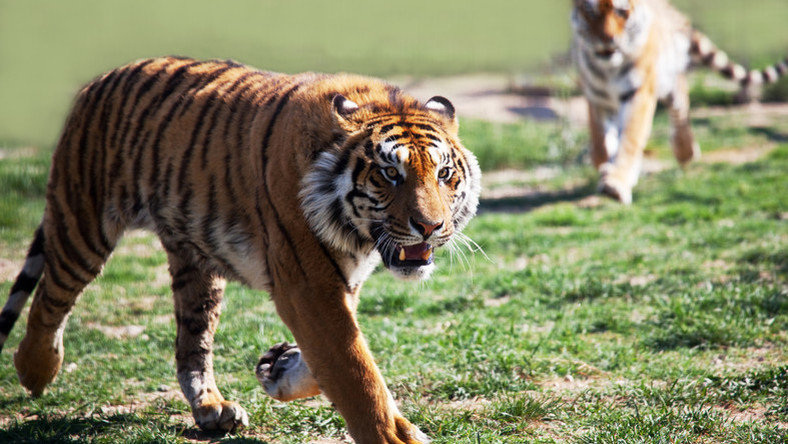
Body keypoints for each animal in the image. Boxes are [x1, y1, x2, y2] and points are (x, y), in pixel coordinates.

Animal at [0, 56, 480, 444]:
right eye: (389, 173)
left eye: (443, 174)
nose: (430, 226)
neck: (357, 235)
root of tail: (97, 80)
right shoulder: (308, 285)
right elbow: (355, 371)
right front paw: (392, 436)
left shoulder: (340, 282)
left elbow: (337, 357)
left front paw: (277, 366)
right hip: (83, 222)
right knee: (50, 298)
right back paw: (33, 370)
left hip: (196, 267)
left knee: (191, 345)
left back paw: (213, 410)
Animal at [572, 0, 788, 204]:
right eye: (591, 13)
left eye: (621, 11)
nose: (607, 39)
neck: (608, 69)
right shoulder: (595, 98)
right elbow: (600, 145)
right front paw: (607, 166)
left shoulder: (639, 93)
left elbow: (630, 139)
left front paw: (615, 183)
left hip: (670, 80)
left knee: (681, 104)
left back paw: (686, 152)